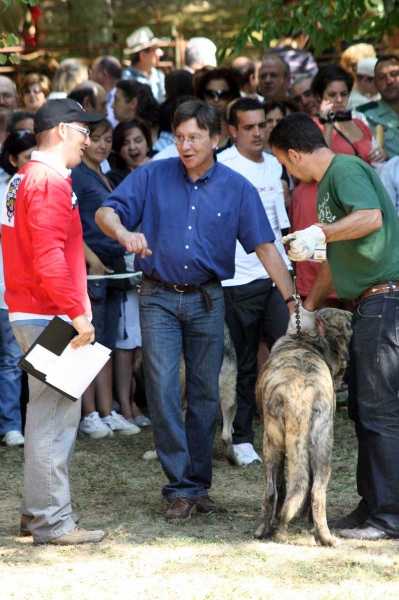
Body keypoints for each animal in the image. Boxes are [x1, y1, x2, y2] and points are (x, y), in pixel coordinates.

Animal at [255, 310, 352, 548]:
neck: (303, 339)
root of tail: (299, 393)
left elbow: (281, 484)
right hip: (322, 448)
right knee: (317, 491)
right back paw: (324, 537)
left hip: (271, 445)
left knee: (271, 491)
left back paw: (263, 530)